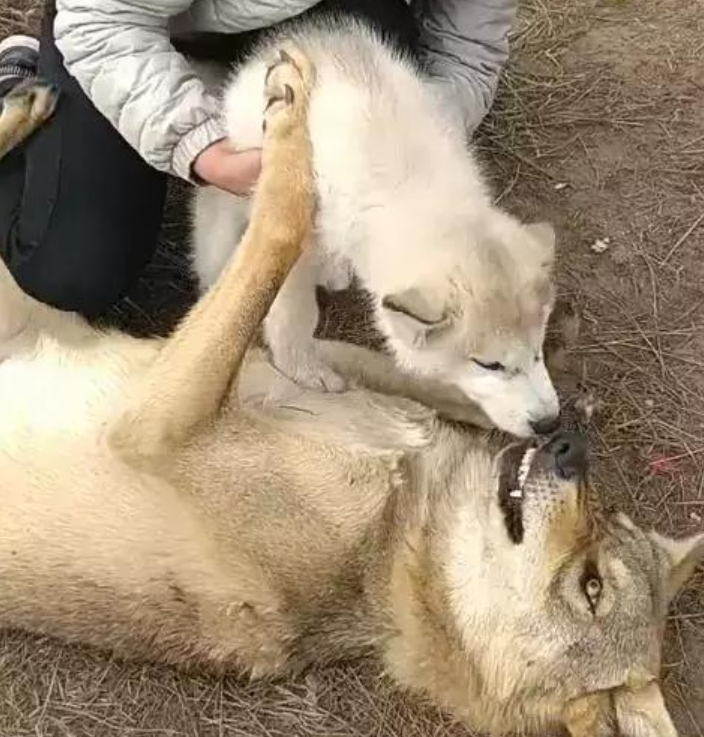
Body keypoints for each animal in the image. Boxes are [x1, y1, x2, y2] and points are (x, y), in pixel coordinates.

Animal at [0, 51, 700, 736]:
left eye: (593, 584)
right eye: (607, 531)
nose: (567, 447)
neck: (398, 520)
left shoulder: (151, 423)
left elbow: (282, 233)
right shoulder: (289, 360)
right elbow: (400, 357)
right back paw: (24, 100)